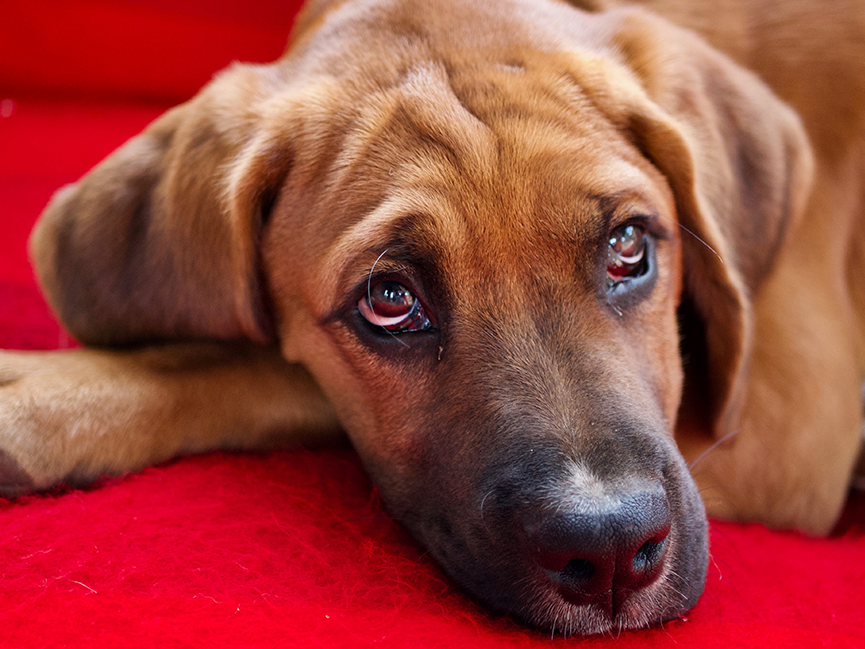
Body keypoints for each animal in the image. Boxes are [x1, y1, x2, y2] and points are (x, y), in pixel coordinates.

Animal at [1, 0, 864, 632]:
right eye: (389, 301)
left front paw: (45, 397)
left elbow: (254, 362)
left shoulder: (786, 419)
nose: (611, 550)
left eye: (628, 247)